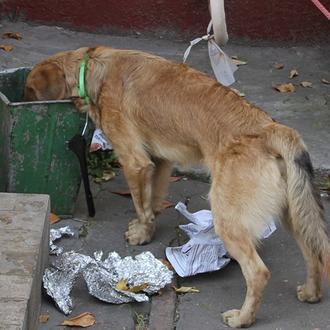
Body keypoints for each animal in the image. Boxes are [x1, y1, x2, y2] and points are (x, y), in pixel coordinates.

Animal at [24, 46, 328, 328]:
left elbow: (140, 202)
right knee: (313, 252)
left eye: (29, 91)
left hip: (229, 219)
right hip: (294, 216)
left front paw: (140, 235)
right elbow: (152, 200)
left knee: (258, 273)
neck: (93, 67)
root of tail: (272, 129)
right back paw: (311, 293)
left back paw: (243, 318)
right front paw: (148, 227)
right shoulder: (159, 160)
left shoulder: (134, 161)